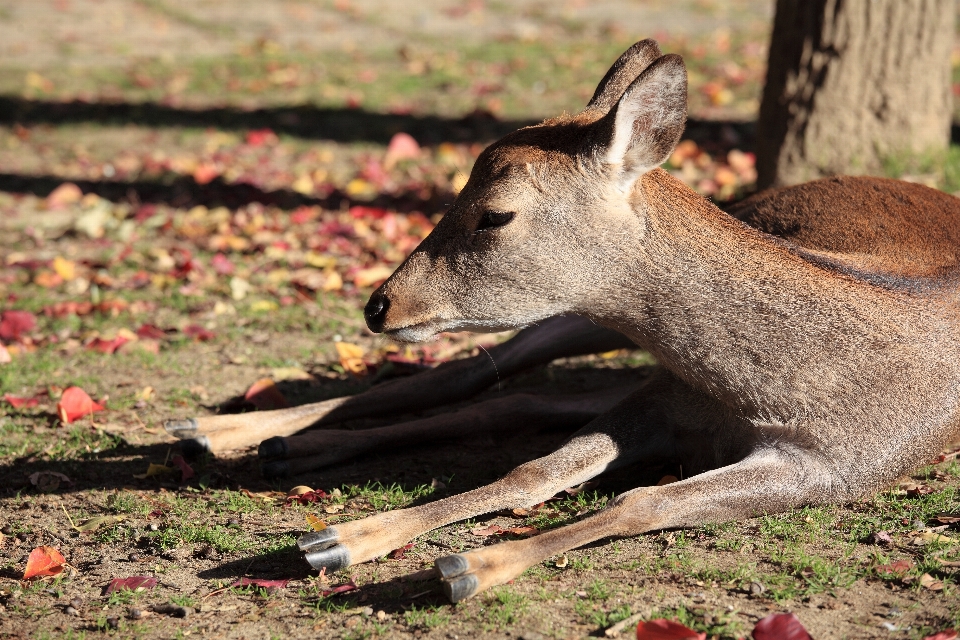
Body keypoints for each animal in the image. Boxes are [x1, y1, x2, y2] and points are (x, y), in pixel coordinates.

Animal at [165, 41, 960, 604]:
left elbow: (641, 501)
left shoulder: (838, 469)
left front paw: (463, 568)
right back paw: (223, 431)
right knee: (463, 379)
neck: (764, 395)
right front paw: (341, 537)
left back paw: (270, 445)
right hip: (580, 317)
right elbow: (532, 470)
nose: (379, 304)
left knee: (514, 396)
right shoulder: (663, 396)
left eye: (495, 212)